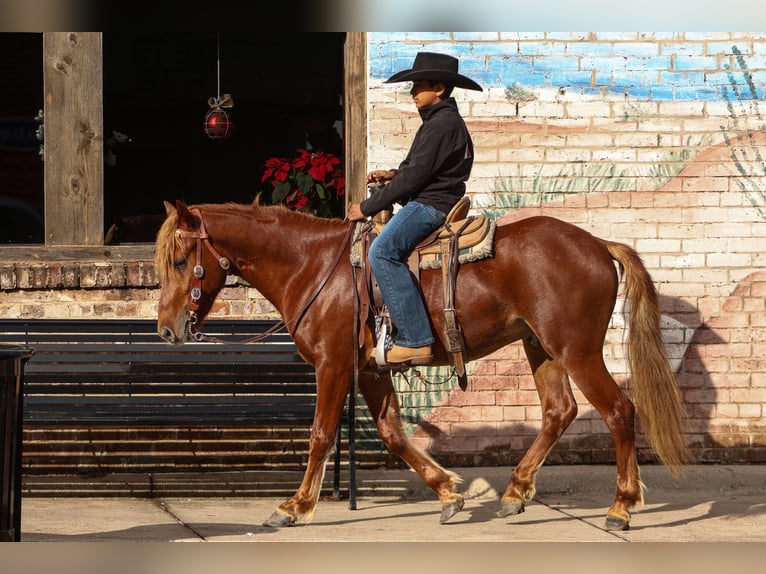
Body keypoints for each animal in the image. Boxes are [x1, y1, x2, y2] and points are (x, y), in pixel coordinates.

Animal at [156, 200, 696, 532]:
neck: (313, 266)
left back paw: (621, 507)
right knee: (558, 412)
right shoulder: (370, 371)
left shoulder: (334, 366)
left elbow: (321, 434)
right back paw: (516, 491)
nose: (166, 329)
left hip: (577, 350)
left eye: (182, 262)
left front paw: (294, 506)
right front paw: (449, 492)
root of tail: (599, 246)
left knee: (619, 411)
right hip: (540, 346)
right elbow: (393, 434)